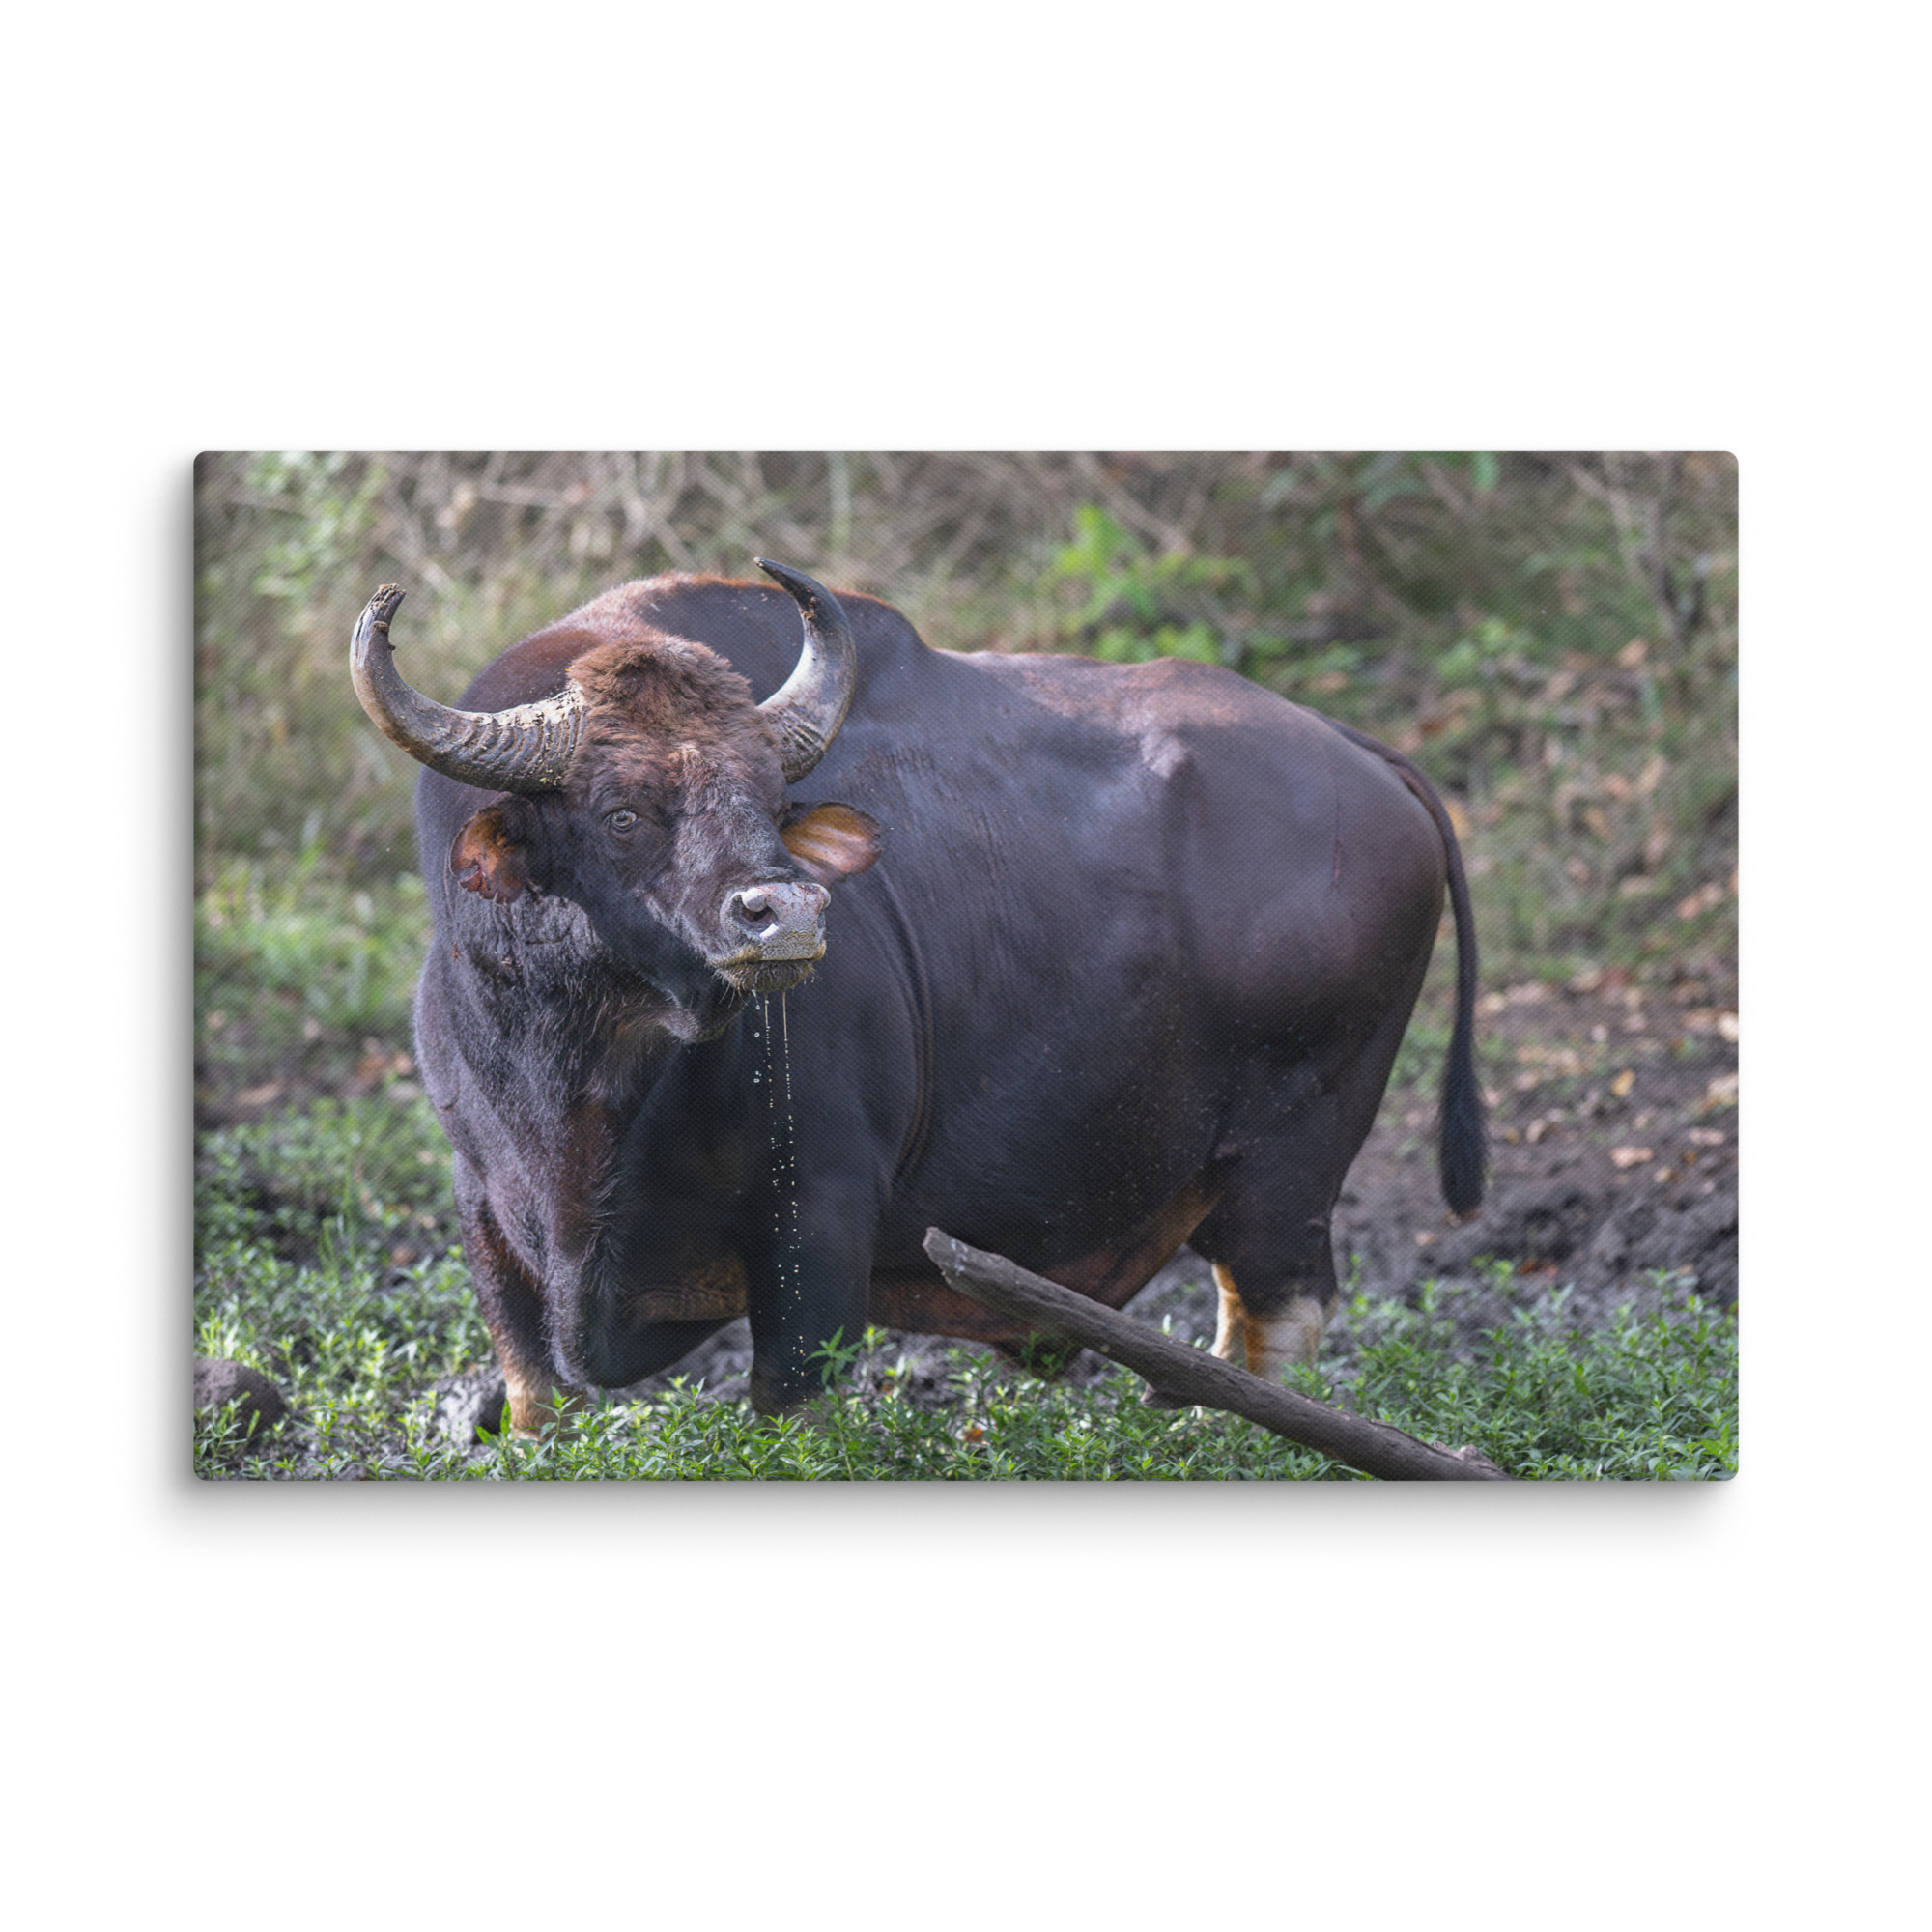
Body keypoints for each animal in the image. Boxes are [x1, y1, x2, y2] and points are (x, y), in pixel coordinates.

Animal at [352, 561, 1483, 1428]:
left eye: (769, 798)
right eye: (623, 811)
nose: (785, 914)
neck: (586, 1086)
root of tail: (1366, 759)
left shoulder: (819, 1223)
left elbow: (793, 1410)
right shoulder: (485, 1217)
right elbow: (535, 1398)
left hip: (1292, 1163)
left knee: (1279, 1315)